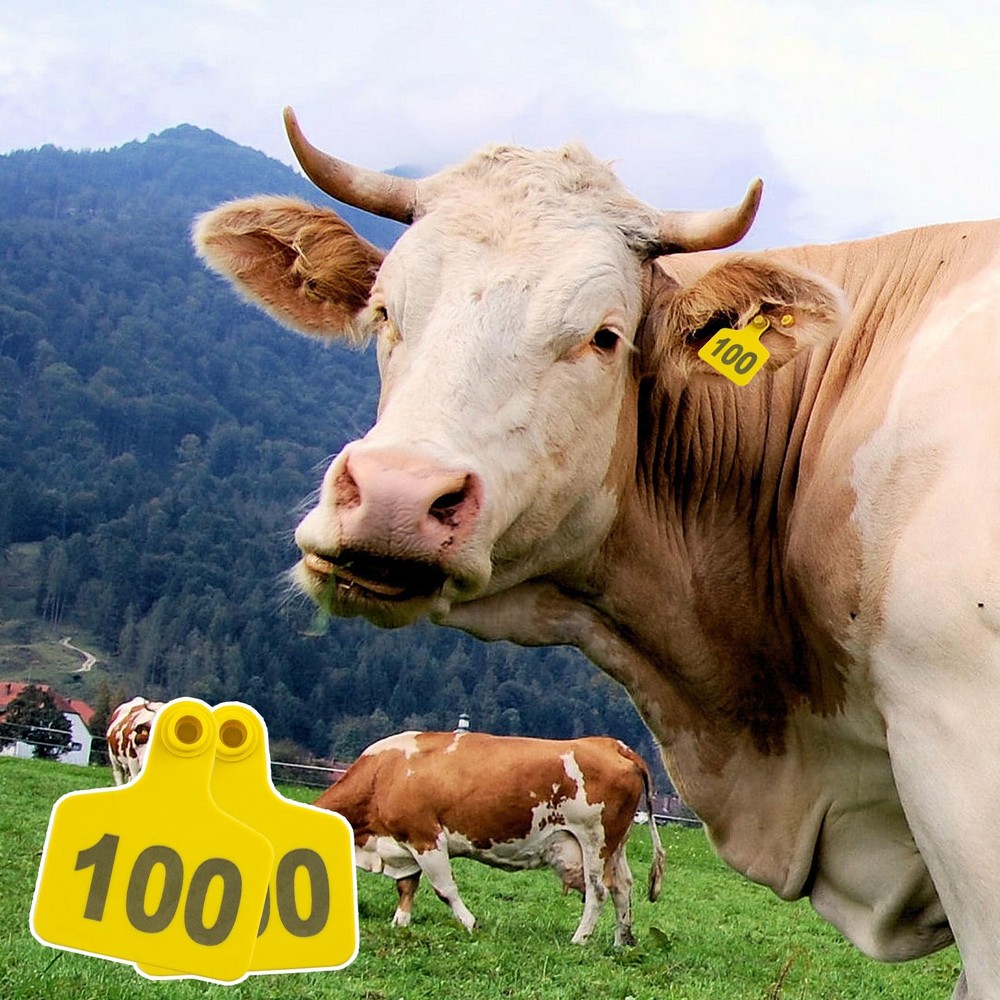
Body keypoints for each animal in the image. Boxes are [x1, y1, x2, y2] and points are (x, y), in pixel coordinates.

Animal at [313, 730, 665, 945]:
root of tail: (612, 744)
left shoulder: (426, 837)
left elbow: (444, 889)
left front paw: (470, 924)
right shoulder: (405, 841)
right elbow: (407, 886)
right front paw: (400, 923)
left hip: (595, 841)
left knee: (599, 891)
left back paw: (579, 939)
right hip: (615, 846)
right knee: (622, 888)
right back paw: (621, 941)